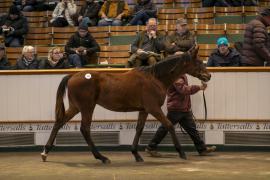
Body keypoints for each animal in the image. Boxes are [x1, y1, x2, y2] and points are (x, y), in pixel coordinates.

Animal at [40, 45, 211, 164]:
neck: (154, 78)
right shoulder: (154, 108)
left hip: (76, 107)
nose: (208, 76)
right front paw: (181, 152)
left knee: (59, 122)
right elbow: (169, 125)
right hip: (87, 107)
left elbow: (139, 129)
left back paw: (45, 152)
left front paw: (136, 154)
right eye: (198, 61)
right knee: (84, 129)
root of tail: (72, 75)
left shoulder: (144, 110)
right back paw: (102, 157)